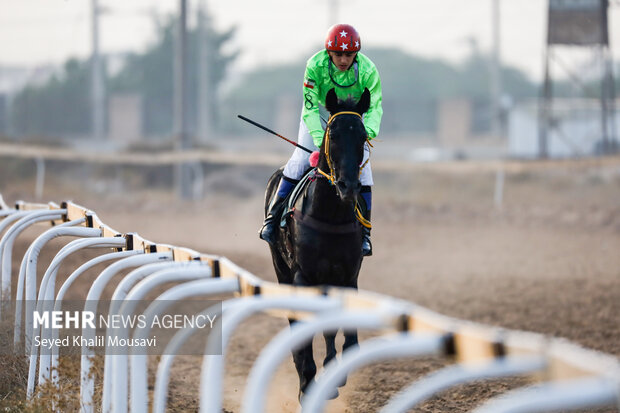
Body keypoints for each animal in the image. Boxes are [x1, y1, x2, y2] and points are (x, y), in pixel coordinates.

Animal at [262, 87, 370, 396]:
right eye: (333, 135)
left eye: (362, 136)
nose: (348, 186)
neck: (330, 216)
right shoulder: (303, 275)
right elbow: (305, 325)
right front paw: (307, 382)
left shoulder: (347, 276)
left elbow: (345, 334)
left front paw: (335, 372)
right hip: (281, 268)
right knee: (294, 320)